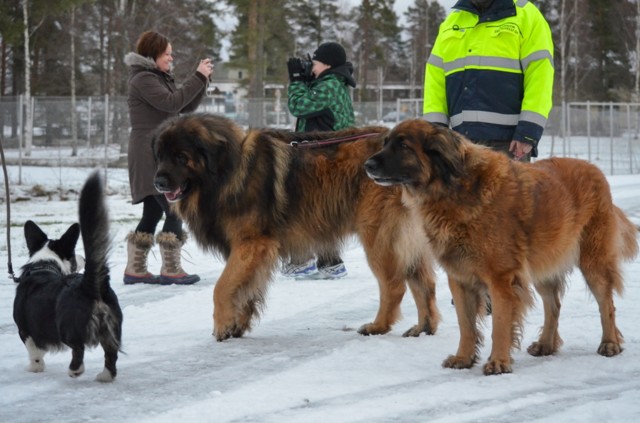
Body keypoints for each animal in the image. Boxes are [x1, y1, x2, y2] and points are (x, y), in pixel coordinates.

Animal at [12, 172, 122, 384]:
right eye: (72, 254)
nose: (83, 259)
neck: (44, 264)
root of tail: (90, 285)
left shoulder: (25, 330)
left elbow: (34, 353)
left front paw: (34, 368)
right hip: (113, 328)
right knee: (111, 354)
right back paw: (105, 377)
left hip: (66, 328)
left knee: (78, 348)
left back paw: (75, 370)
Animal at [151, 114, 440, 342]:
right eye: (160, 156)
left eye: (181, 157)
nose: (158, 182)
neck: (226, 171)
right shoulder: (252, 252)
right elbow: (245, 289)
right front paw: (238, 324)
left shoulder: (252, 244)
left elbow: (222, 288)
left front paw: (222, 327)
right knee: (424, 283)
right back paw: (424, 327)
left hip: (378, 236)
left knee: (394, 286)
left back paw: (379, 326)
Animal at [364, 118, 640, 374]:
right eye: (386, 143)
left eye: (403, 146)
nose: (367, 165)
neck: (454, 189)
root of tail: (595, 170)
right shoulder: (460, 278)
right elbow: (466, 325)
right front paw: (463, 358)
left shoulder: (500, 280)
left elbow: (499, 324)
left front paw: (498, 361)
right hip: (544, 264)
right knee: (553, 305)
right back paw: (546, 344)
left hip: (594, 261)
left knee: (606, 303)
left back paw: (610, 343)